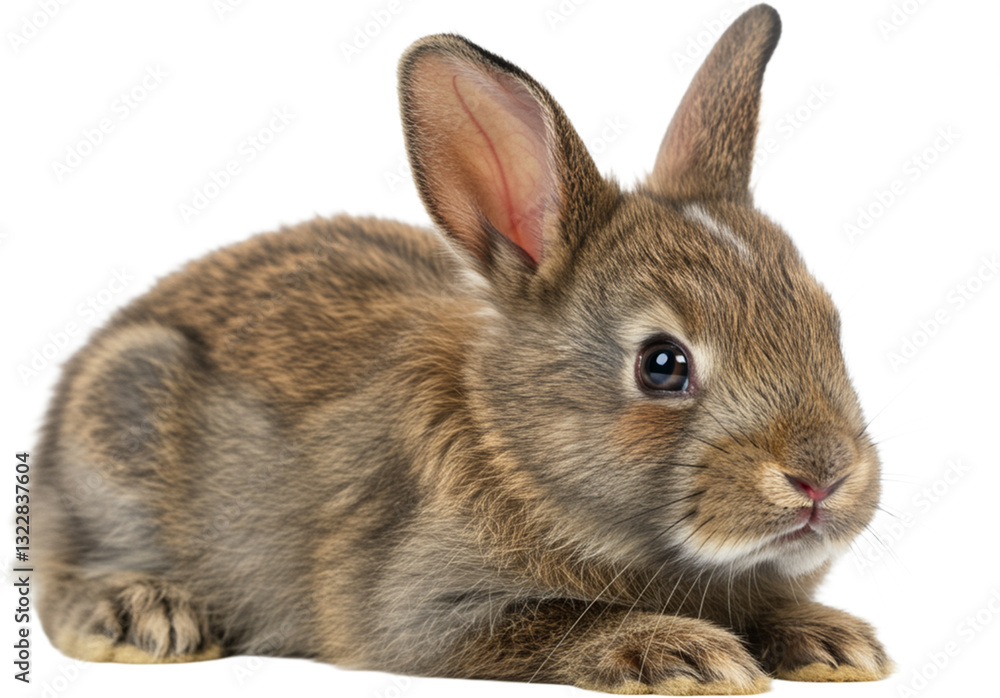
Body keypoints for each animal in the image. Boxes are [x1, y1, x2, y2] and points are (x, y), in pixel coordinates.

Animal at [33, 4, 892, 695]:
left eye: (830, 325)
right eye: (662, 364)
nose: (824, 475)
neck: (512, 449)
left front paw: (836, 646)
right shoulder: (430, 611)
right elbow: (562, 622)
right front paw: (686, 657)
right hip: (119, 432)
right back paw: (145, 616)